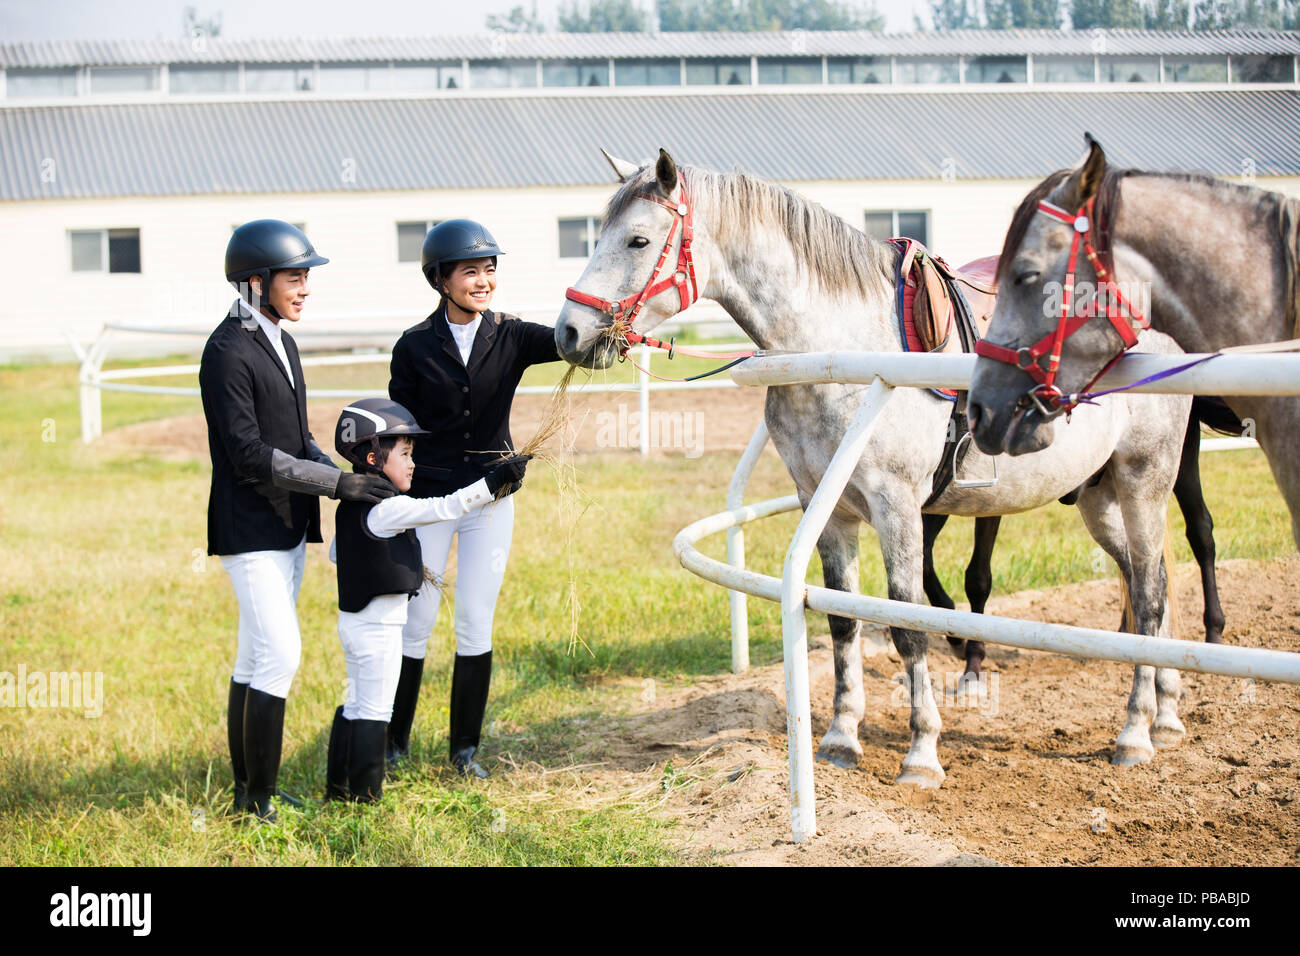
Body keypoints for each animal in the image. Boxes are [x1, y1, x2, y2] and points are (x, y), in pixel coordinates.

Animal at [553, 149, 1190, 785]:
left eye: (638, 239)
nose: (568, 332)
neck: (843, 354)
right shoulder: (826, 507)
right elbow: (843, 619)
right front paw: (841, 736)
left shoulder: (897, 506)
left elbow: (905, 623)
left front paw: (922, 752)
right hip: (1098, 497)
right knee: (1151, 581)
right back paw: (1166, 709)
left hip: (1144, 482)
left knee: (1149, 594)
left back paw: (1135, 732)